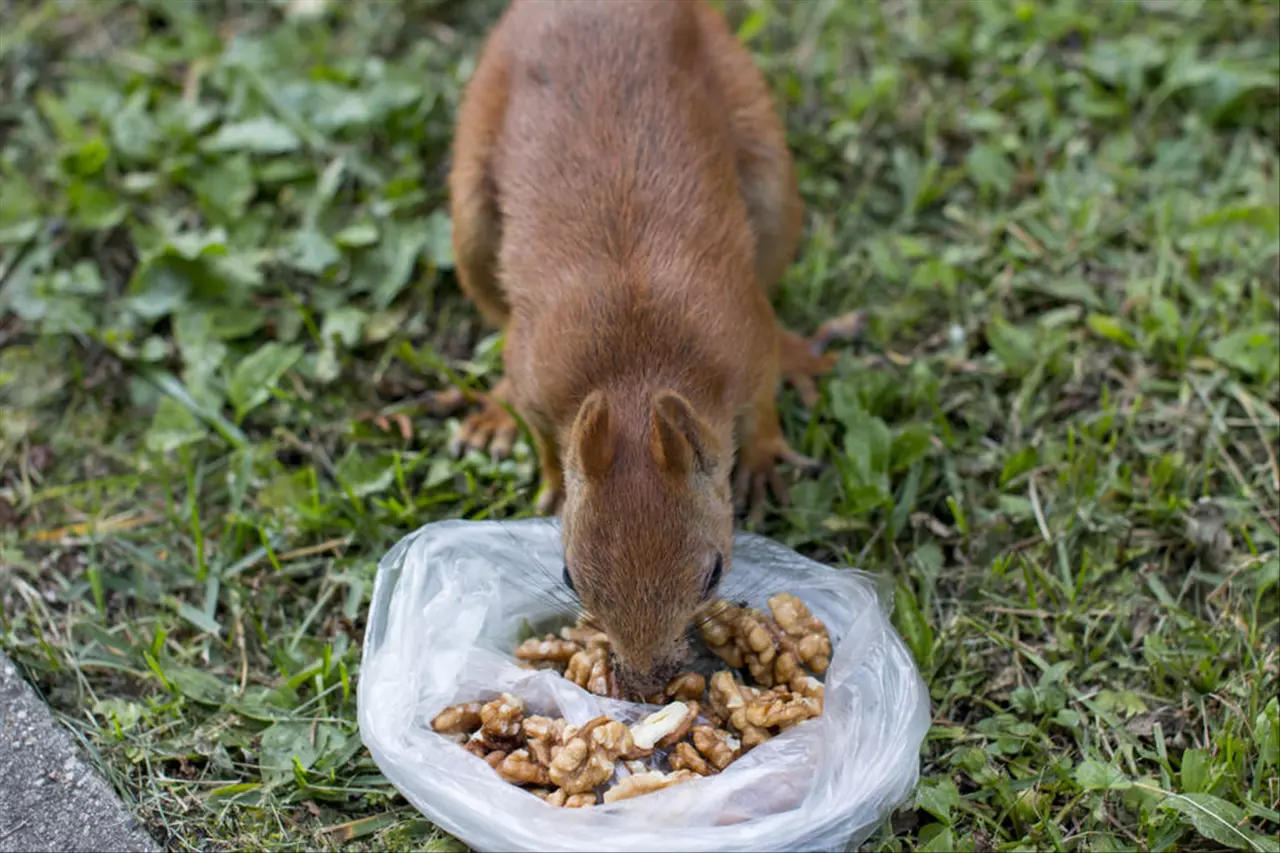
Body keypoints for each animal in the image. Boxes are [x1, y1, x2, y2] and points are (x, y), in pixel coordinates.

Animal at [437, 1, 860, 696]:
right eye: (568, 573)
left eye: (716, 571)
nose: (645, 687)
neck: (633, 362)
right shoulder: (533, 369)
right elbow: (544, 438)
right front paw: (553, 487)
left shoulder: (747, 339)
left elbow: (761, 407)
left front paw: (764, 459)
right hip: (472, 211)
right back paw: (492, 412)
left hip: (766, 165)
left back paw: (803, 353)